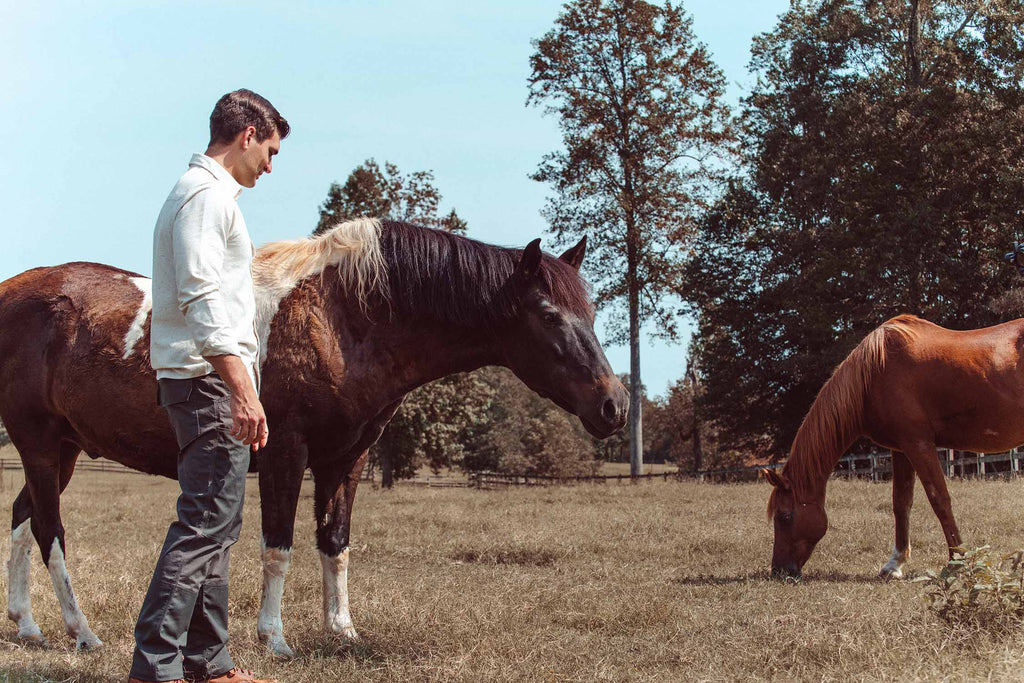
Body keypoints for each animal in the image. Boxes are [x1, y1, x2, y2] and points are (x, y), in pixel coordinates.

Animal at [2, 219, 630, 651]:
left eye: (592, 313)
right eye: (549, 315)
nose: (614, 405)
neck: (341, 316)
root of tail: (13, 291)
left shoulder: (345, 459)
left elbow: (336, 544)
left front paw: (342, 630)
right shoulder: (285, 452)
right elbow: (278, 545)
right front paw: (273, 637)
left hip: (64, 451)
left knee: (23, 517)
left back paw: (27, 625)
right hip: (38, 446)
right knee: (50, 531)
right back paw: (80, 631)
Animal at [765, 313, 1024, 577]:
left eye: (784, 516)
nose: (779, 570)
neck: (874, 375)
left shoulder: (918, 444)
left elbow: (939, 500)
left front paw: (956, 562)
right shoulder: (901, 449)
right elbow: (901, 503)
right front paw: (894, 564)